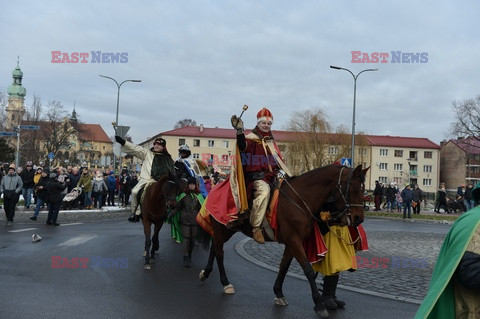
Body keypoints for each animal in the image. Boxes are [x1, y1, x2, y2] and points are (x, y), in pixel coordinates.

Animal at [198, 166, 368, 318]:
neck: (299, 199)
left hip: (227, 230)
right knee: (219, 252)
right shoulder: (294, 240)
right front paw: (319, 304)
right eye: (354, 190)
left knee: (215, 247)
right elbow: (308, 270)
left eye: (363, 190)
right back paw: (225, 283)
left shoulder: (292, 242)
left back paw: (205, 273)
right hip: (220, 227)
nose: (359, 218)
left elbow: (284, 267)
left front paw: (278, 293)